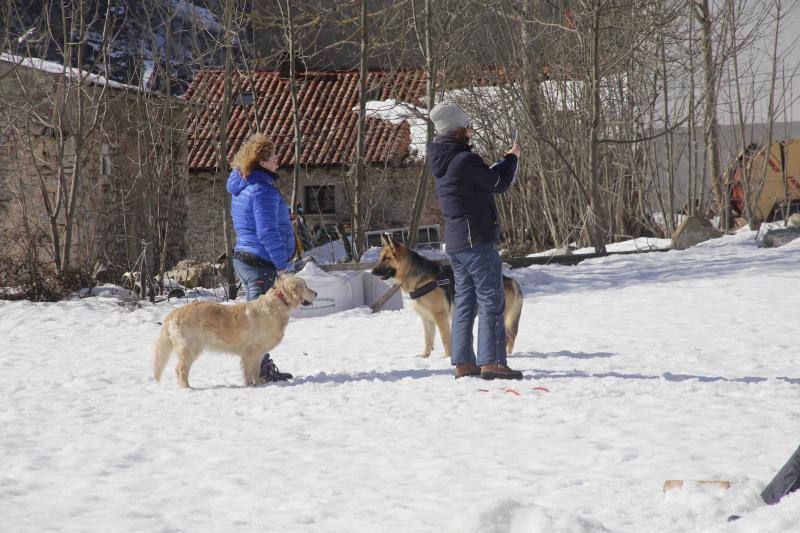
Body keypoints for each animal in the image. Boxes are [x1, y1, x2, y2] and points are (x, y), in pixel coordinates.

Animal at [370, 236, 524, 358]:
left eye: (386, 258)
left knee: (508, 336)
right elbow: (428, 339)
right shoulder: (427, 319)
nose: (372, 272)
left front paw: (446, 357)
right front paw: (425, 356)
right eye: (380, 258)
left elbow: (445, 338)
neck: (415, 275)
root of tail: (508, 279)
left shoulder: (440, 316)